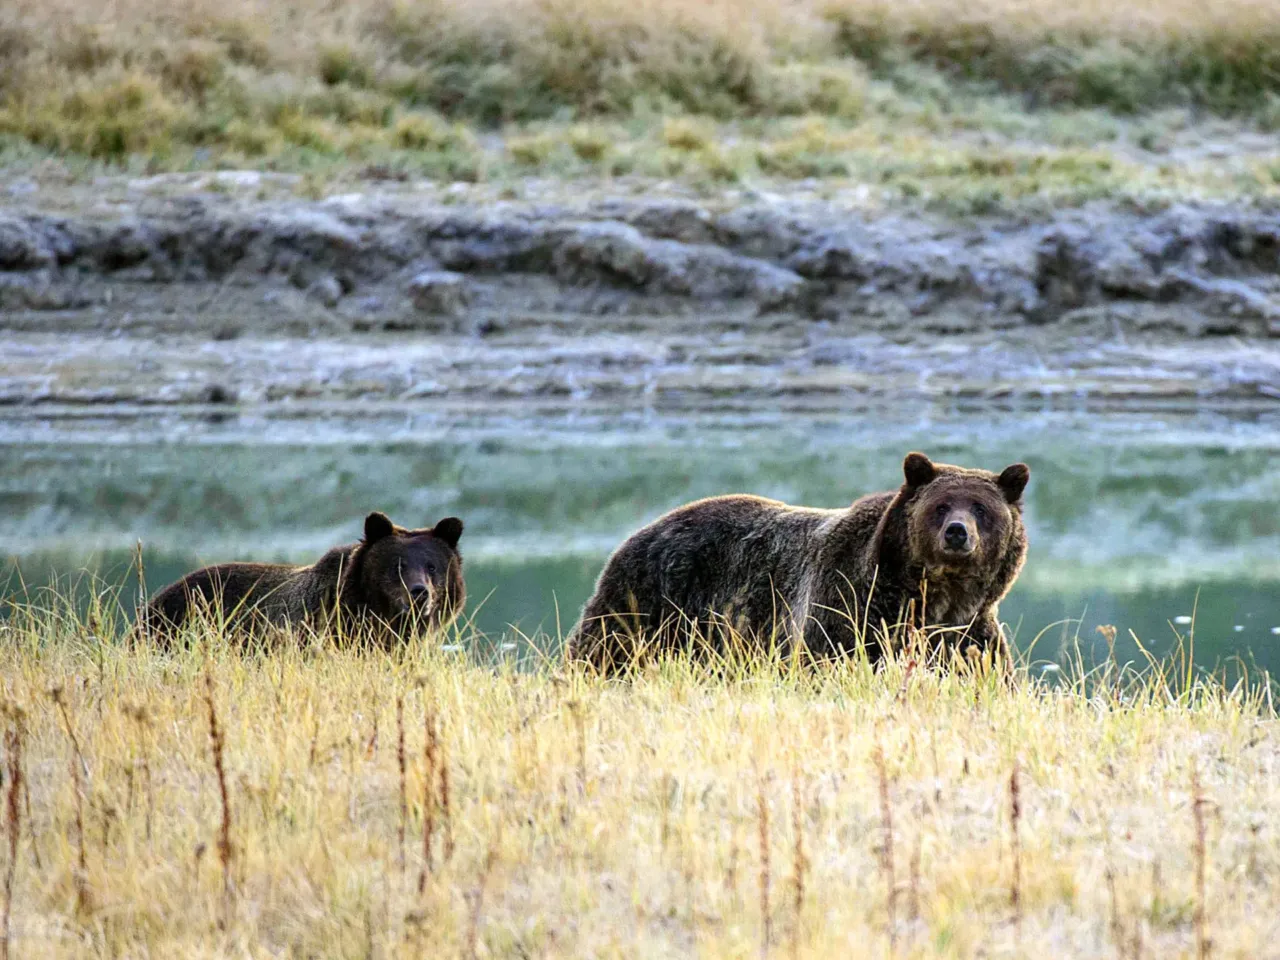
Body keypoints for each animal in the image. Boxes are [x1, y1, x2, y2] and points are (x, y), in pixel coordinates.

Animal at [567, 452, 1029, 672]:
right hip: (649, 601)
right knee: (602, 651)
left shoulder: (967, 634)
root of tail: (641, 530)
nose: (957, 532)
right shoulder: (848, 609)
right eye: (941, 505)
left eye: (981, 508)